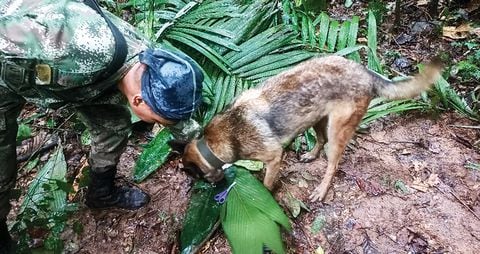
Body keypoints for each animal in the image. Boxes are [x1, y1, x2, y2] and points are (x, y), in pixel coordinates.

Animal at [181, 55, 442, 202]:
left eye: (195, 176)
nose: (211, 188)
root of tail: (365, 71)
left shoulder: (274, 157)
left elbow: (266, 183)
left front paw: (265, 196)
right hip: (317, 118)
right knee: (321, 140)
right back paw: (310, 155)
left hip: (337, 131)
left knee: (332, 164)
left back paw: (321, 190)